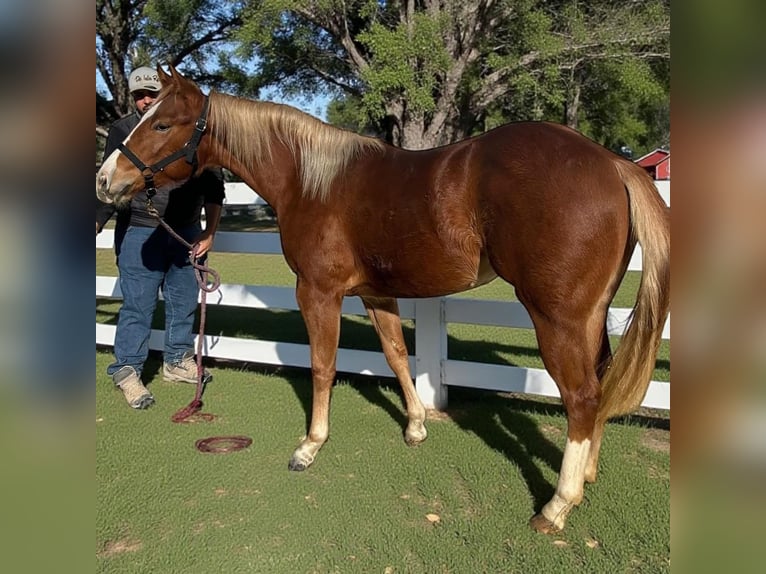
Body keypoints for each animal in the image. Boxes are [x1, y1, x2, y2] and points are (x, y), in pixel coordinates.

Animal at [97, 65, 670, 533]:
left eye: (163, 125)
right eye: (145, 117)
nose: (106, 180)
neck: (311, 179)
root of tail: (611, 163)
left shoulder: (319, 293)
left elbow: (323, 366)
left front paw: (310, 446)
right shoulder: (376, 294)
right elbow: (396, 356)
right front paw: (415, 426)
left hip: (557, 317)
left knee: (582, 396)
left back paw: (556, 505)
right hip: (591, 315)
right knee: (598, 382)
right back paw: (586, 476)